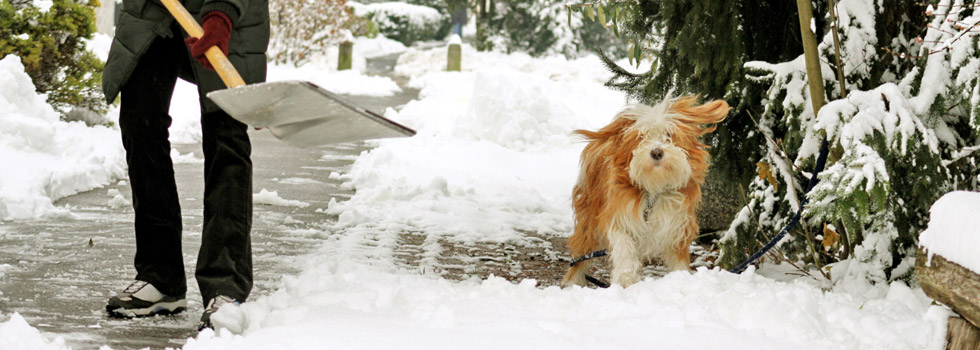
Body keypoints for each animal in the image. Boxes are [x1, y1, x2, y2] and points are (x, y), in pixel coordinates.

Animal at [560, 95, 728, 288]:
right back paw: (572, 282)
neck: (654, 190)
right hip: (589, 220)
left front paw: (680, 278)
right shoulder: (619, 215)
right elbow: (624, 248)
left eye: (669, 134)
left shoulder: (677, 224)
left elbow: (678, 258)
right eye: (642, 136)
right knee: (581, 254)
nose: (656, 152)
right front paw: (625, 279)